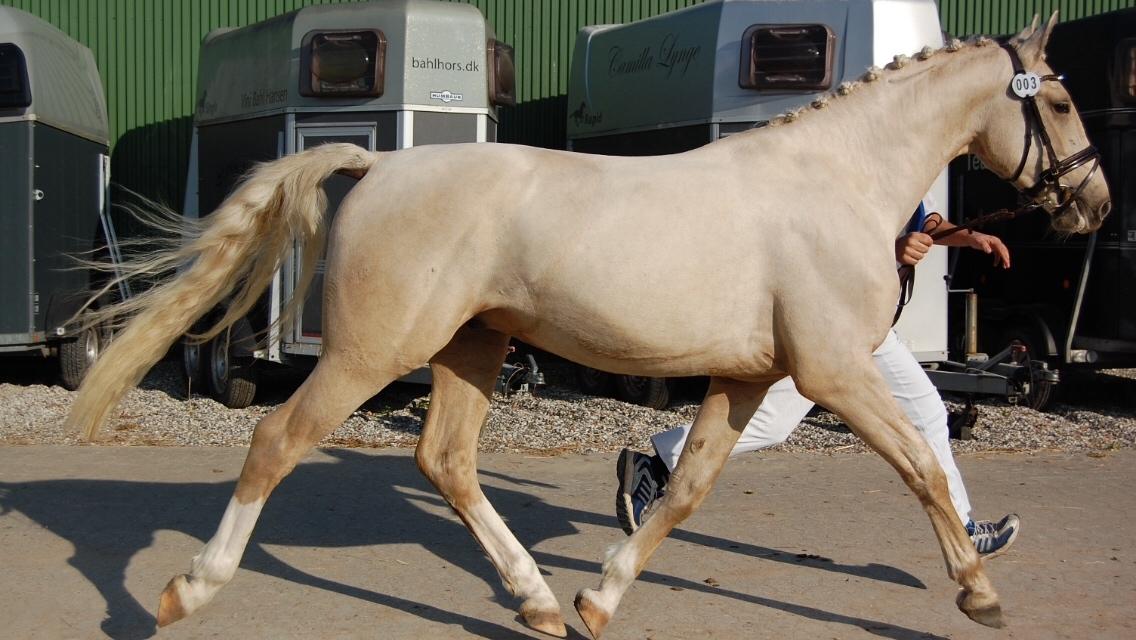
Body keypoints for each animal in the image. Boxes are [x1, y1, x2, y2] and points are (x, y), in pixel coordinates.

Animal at [64, 13, 1108, 636]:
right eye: (1058, 98)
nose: (1093, 204)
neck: (833, 180)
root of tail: (379, 165)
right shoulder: (835, 372)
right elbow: (923, 465)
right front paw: (979, 589)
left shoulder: (748, 379)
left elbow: (686, 491)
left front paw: (598, 596)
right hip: (376, 351)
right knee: (278, 439)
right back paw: (186, 588)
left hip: (474, 347)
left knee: (444, 460)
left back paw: (535, 602)